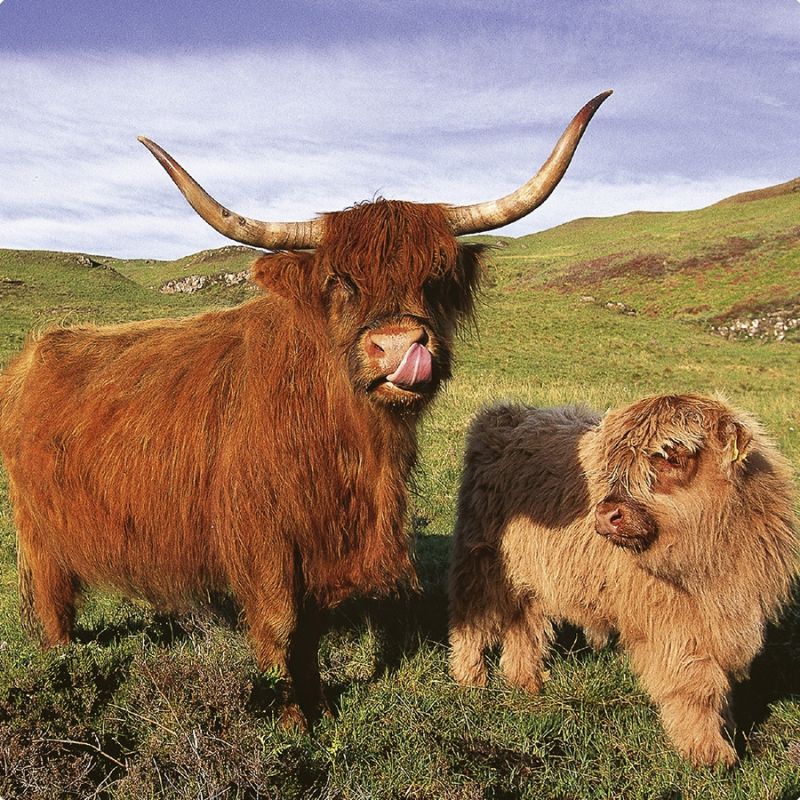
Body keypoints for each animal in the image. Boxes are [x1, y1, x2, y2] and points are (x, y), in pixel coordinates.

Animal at [0, 92, 610, 727]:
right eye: (340, 279)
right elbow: (279, 625)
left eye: (436, 276)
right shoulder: (261, 536)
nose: (398, 346)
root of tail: (37, 351)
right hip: (39, 530)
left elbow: (308, 629)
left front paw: (318, 702)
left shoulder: (320, 544)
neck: (352, 448)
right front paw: (290, 717)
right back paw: (61, 660)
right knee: (52, 597)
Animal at [449, 394, 798, 766]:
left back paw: (524, 680)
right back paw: (470, 676)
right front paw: (707, 751)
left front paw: (725, 728)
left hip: (532, 572)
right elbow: (696, 684)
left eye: (672, 457)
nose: (605, 515)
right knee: (472, 616)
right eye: (614, 464)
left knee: (525, 623)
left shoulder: (732, 618)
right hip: (481, 560)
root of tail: (508, 413)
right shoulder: (674, 625)